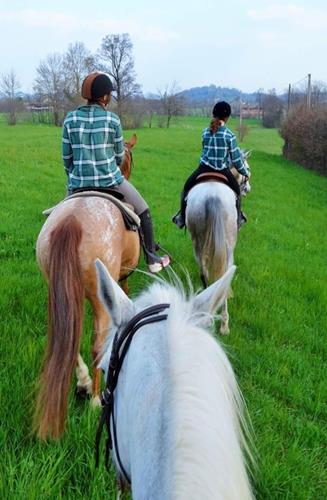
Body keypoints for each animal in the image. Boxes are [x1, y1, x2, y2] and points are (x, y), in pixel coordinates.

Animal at [34, 135, 140, 440]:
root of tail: (72, 221)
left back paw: (81, 383)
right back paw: (94, 397)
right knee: (96, 344)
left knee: (64, 333)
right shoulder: (120, 282)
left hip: (60, 290)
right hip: (99, 300)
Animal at [186, 150, 252, 334]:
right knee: (224, 274)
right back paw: (224, 324)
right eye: (247, 170)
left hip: (197, 240)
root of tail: (212, 196)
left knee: (204, 271)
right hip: (229, 247)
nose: (248, 189)